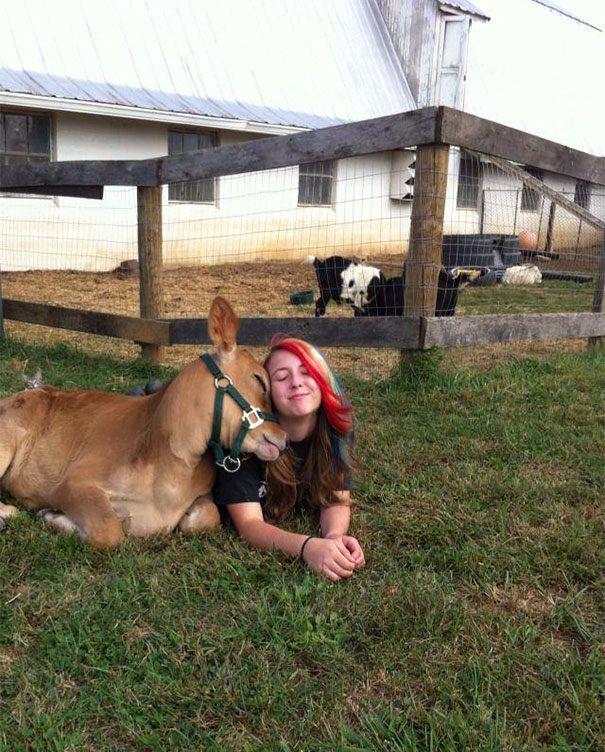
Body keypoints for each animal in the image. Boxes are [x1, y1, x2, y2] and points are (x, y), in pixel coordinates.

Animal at [0, 297, 287, 548]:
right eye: (260, 380)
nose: (283, 438)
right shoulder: (72, 484)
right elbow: (109, 532)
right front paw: (51, 515)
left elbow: (207, 518)